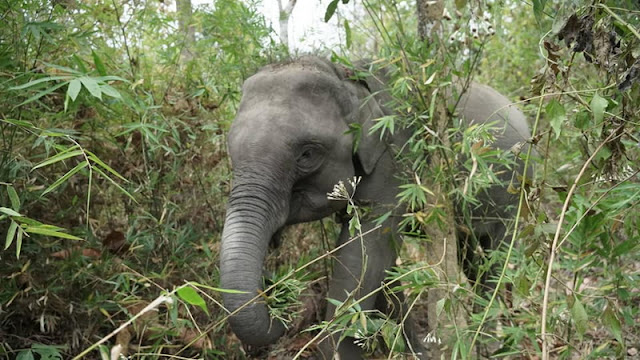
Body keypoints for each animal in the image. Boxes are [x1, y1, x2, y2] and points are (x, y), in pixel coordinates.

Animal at [218, 55, 532, 358]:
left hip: (516, 188)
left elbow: (363, 254)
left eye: (307, 154)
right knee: (471, 256)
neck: (346, 74)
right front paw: (415, 353)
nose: (275, 289)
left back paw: (491, 344)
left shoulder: (397, 158)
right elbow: (380, 266)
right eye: (231, 151)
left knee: (498, 255)